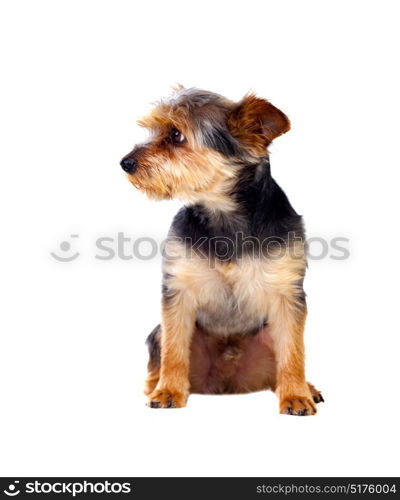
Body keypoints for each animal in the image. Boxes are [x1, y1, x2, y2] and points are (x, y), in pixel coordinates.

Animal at [120, 86, 324, 414]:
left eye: (175, 135)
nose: (125, 162)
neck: (223, 213)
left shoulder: (287, 293)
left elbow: (293, 352)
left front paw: (296, 395)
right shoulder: (178, 291)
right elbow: (174, 352)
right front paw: (168, 391)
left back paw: (305, 387)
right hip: (159, 331)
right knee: (160, 352)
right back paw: (156, 386)